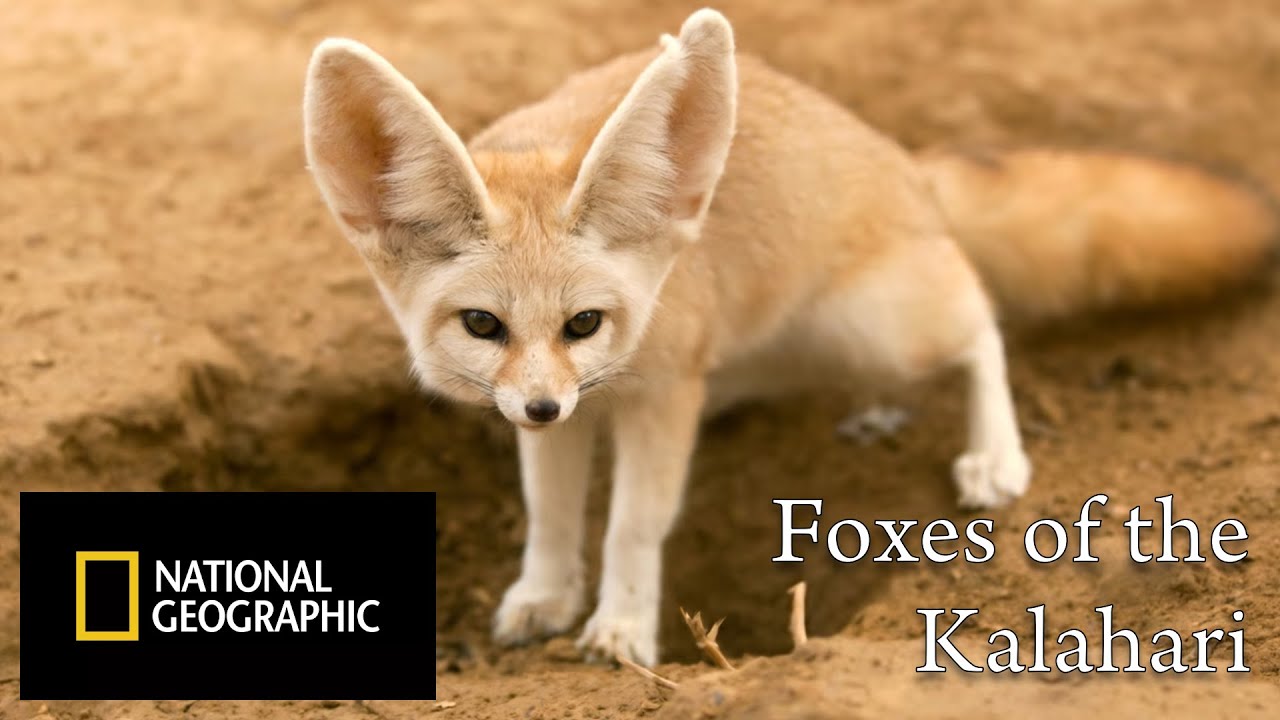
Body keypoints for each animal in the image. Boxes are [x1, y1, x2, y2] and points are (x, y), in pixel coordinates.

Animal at [302, 9, 1278, 666]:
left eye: (585, 323)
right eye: (483, 325)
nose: (542, 405)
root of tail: (902, 161)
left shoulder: (659, 396)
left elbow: (633, 525)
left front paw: (620, 627)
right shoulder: (564, 413)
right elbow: (551, 513)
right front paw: (544, 596)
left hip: (882, 325)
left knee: (980, 319)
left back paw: (994, 455)